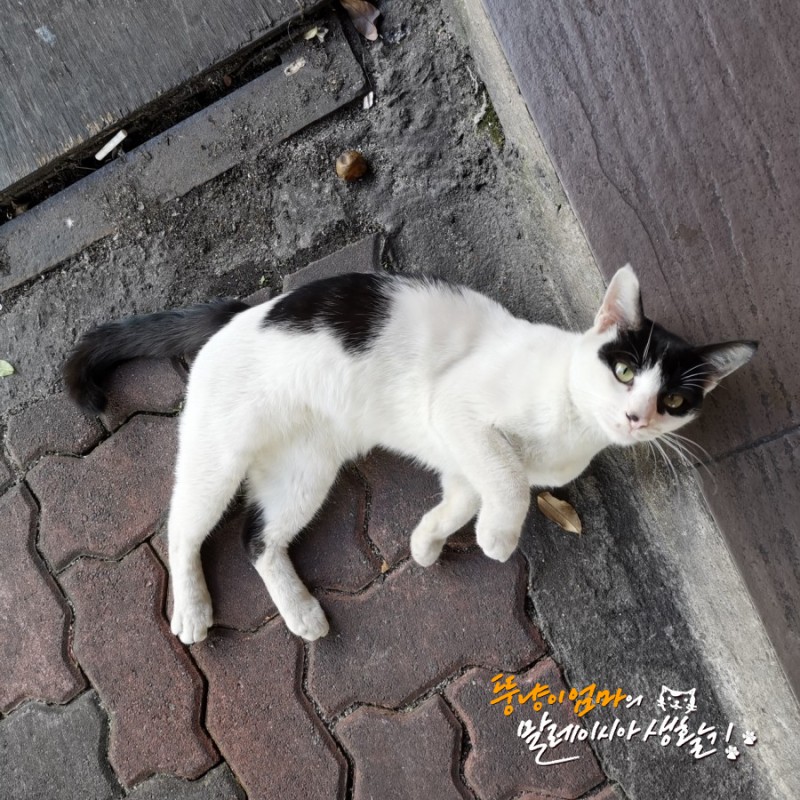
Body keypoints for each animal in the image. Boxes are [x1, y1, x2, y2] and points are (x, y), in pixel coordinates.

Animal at [64, 265, 756, 644]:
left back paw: (300, 611)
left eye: (673, 400)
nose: (637, 418)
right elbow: (508, 481)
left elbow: (470, 493)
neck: (569, 424)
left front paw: (427, 542)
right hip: (220, 453)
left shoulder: (462, 460)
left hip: (303, 473)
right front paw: (499, 538)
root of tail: (240, 313)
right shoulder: (457, 409)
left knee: (257, 541)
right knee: (181, 528)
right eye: (623, 371)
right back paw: (192, 608)